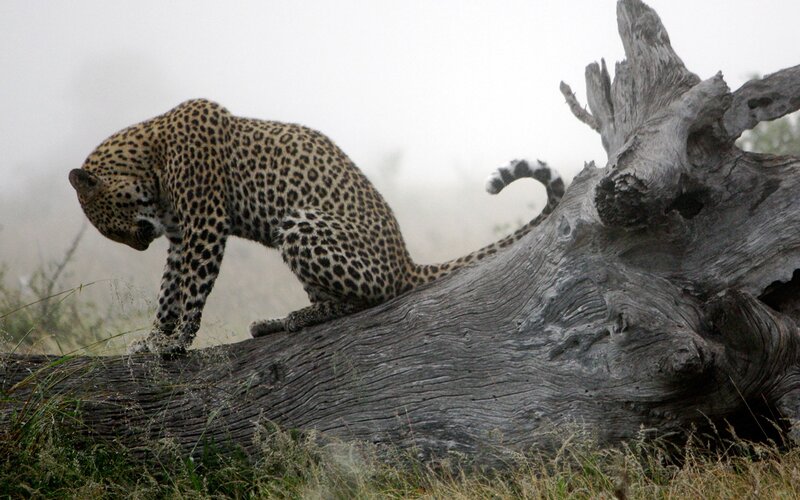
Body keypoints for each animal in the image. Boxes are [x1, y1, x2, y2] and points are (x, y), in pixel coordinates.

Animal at [69, 99, 564, 355]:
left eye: (110, 228)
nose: (138, 246)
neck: (148, 156)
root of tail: (406, 261)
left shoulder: (204, 225)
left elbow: (191, 291)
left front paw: (173, 345)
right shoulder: (178, 235)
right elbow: (168, 291)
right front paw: (153, 339)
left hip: (299, 224)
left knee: (371, 299)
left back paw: (296, 318)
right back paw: (275, 322)